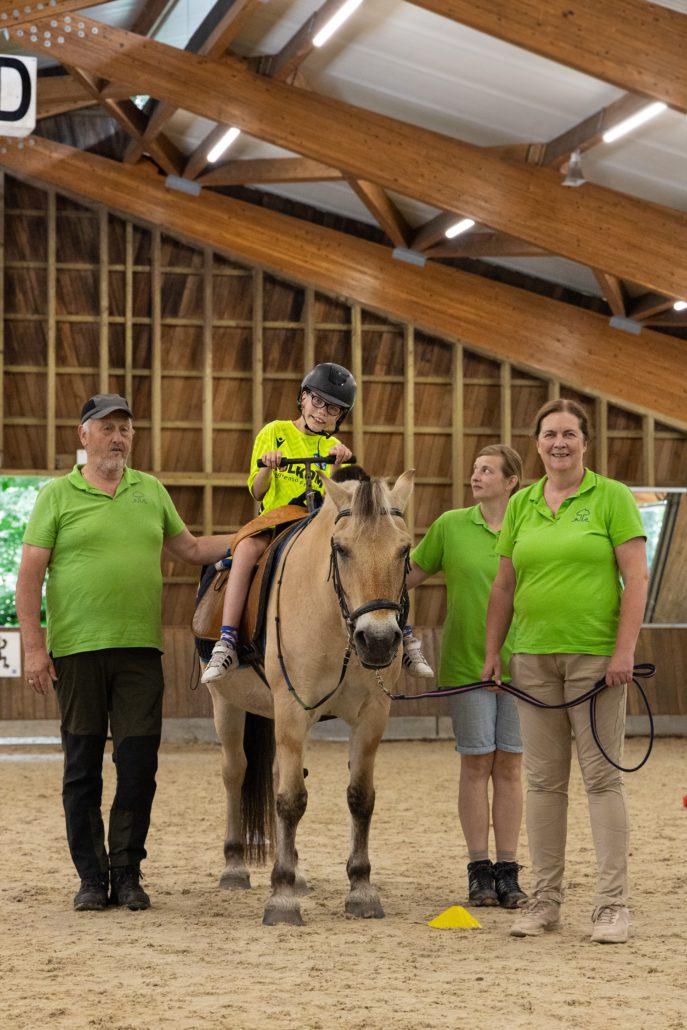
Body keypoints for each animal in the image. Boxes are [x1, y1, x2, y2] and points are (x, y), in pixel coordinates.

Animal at [201, 470, 414, 925]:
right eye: (341, 548)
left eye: (404, 549)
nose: (378, 640)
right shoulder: (292, 711)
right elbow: (290, 801)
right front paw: (281, 897)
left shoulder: (372, 716)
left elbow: (360, 797)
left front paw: (361, 888)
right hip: (227, 705)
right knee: (235, 772)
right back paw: (235, 866)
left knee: (281, 773)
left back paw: (296, 872)